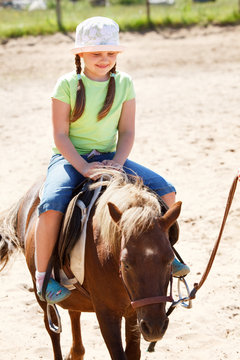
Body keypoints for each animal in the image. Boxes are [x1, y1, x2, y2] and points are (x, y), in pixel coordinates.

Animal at [0, 171, 181, 360]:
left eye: (170, 259)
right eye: (126, 264)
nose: (155, 327)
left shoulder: (134, 312)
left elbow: (133, 352)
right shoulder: (107, 314)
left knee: (74, 312)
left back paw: (76, 352)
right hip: (40, 294)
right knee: (53, 329)